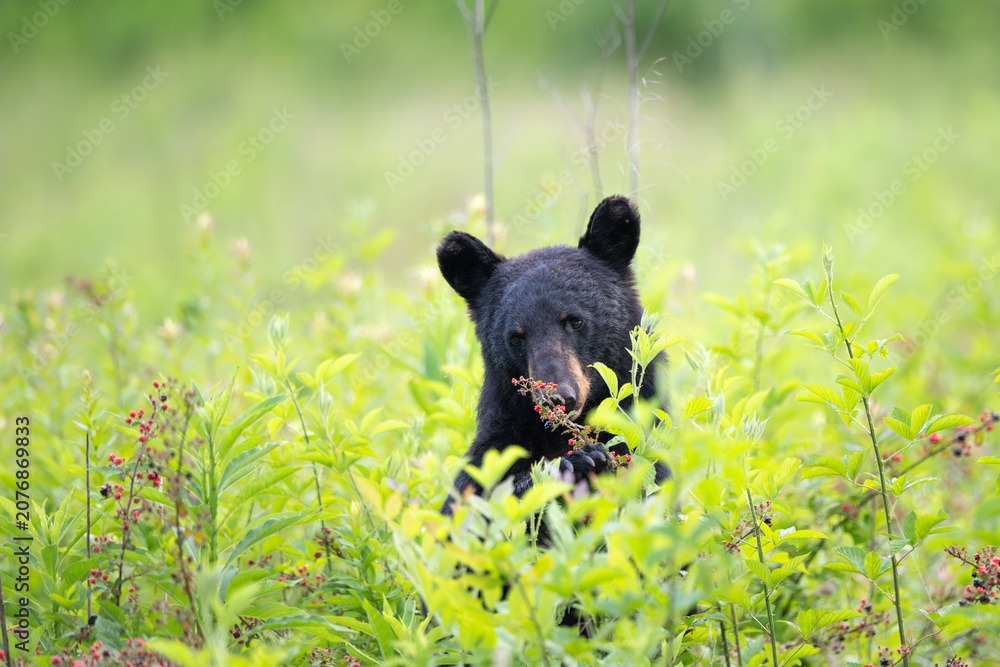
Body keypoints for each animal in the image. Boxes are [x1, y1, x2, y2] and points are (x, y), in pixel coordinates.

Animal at [437, 195, 669, 516]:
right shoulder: (495, 451)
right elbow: (473, 503)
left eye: (576, 321)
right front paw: (571, 464)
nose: (558, 397)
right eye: (515, 337)